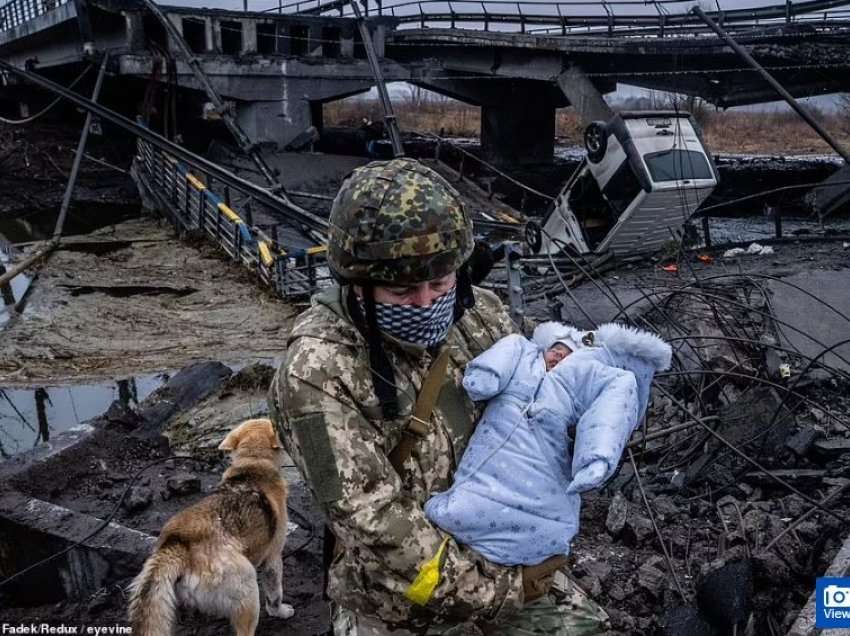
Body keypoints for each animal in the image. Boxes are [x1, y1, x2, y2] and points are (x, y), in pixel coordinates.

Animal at [127, 420, 294, 632]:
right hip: (247, 586)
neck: (252, 463)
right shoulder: (273, 557)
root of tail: (178, 545)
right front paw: (281, 612)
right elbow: (274, 595)